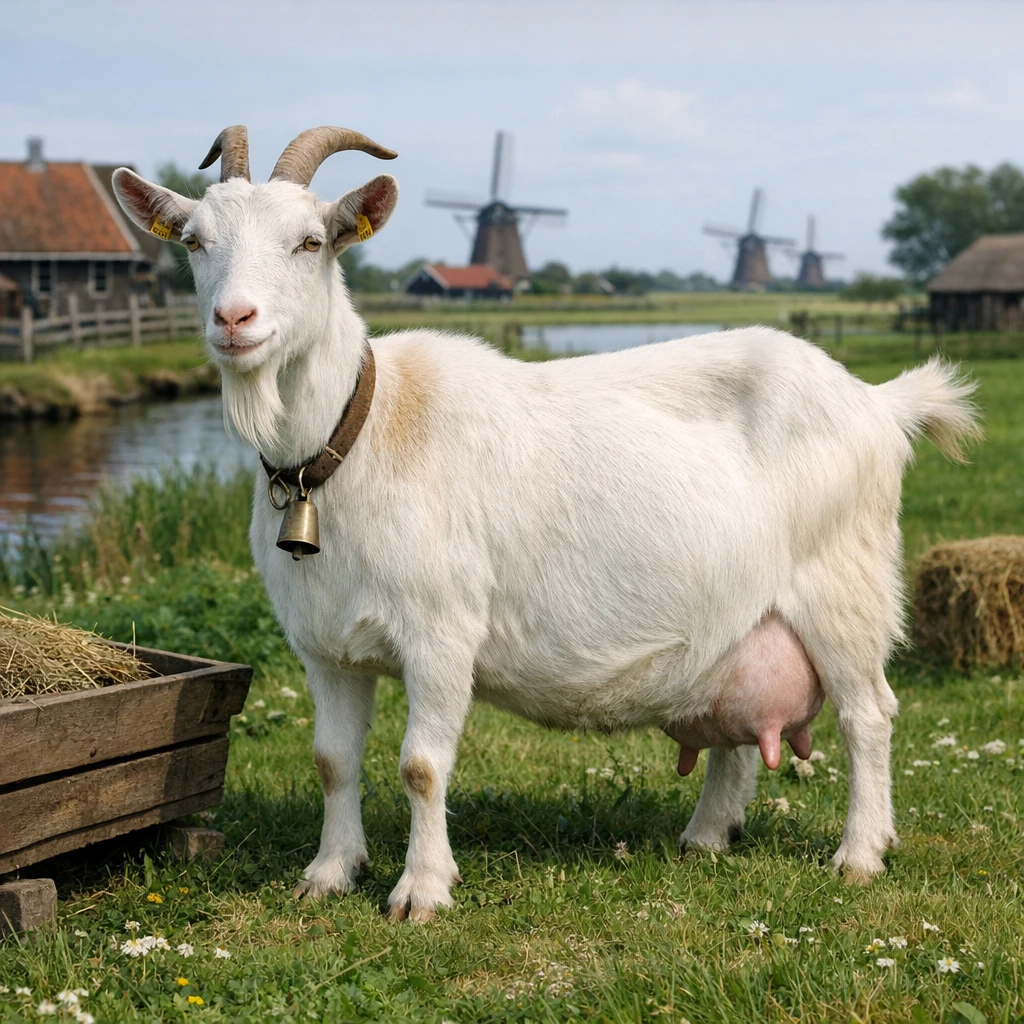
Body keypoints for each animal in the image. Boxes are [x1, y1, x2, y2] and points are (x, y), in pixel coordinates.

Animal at [112, 126, 980, 922]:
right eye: (194, 243)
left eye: (310, 241)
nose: (235, 319)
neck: (357, 434)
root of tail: (878, 402)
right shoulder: (326, 646)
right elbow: (332, 760)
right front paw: (330, 873)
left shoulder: (441, 632)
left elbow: (421, 765)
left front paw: (422, 891)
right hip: (740, 618)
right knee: (740, 727)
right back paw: (706, 837)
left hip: (845, 590)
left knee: (869, 715)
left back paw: (861, 854)